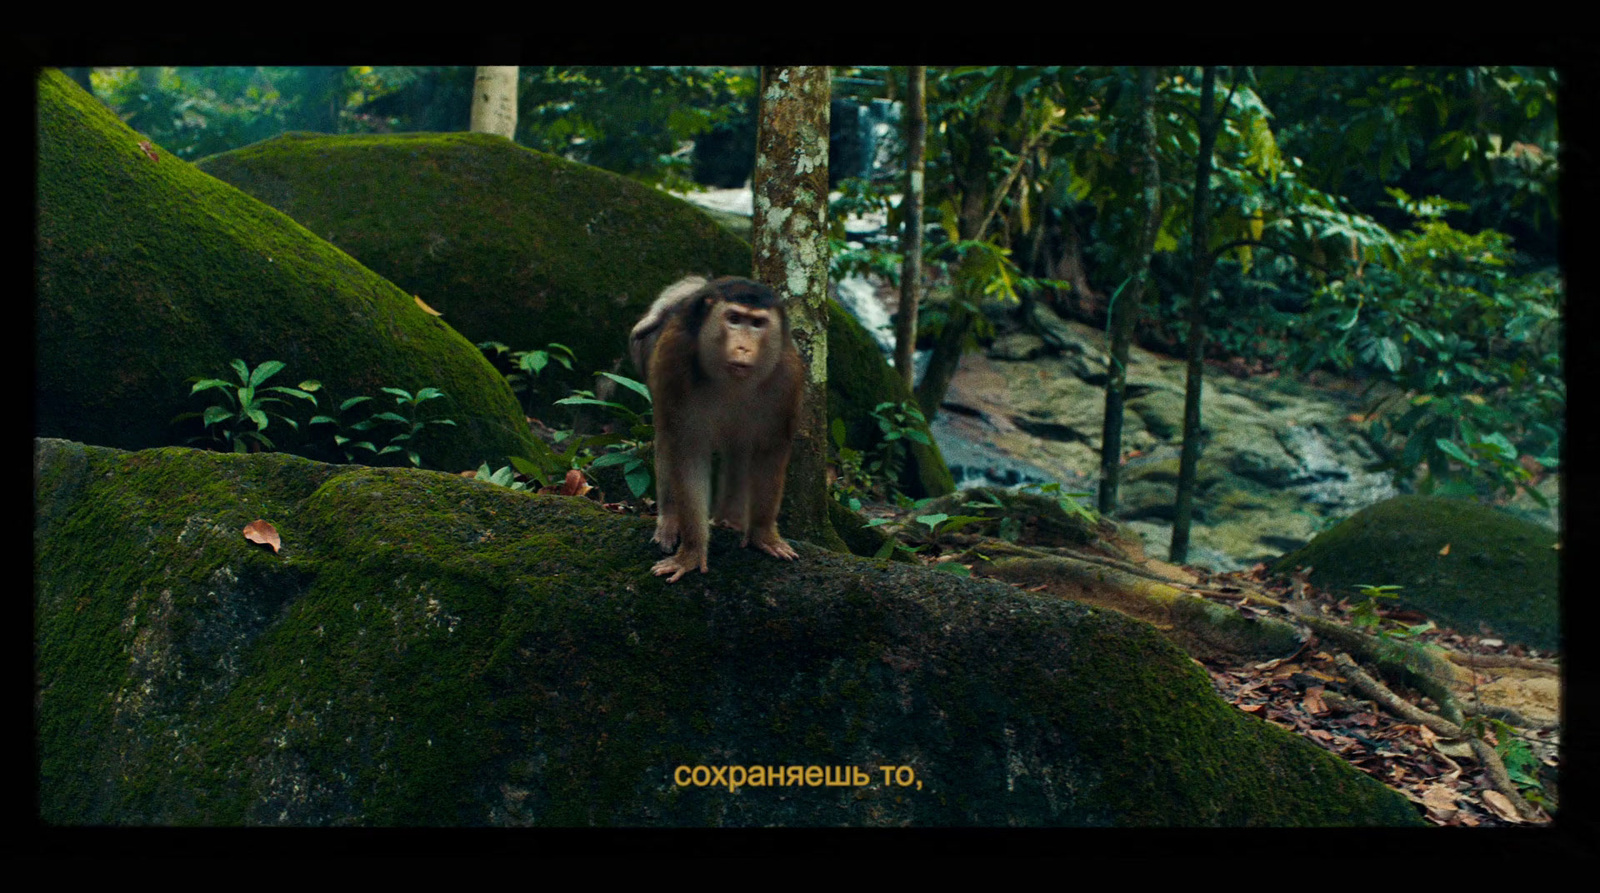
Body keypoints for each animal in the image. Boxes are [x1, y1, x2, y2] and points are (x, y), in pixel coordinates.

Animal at [624, 276, 800, 585]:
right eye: (734, 319)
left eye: (757, 324)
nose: (743, 348)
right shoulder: (674, 362)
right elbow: (687, 451)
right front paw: (692, 553)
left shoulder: (788, 379)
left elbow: (770, 451)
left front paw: (763, 534)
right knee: (666, 436)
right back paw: (670, 520)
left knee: (740, 448)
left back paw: (730, 520)